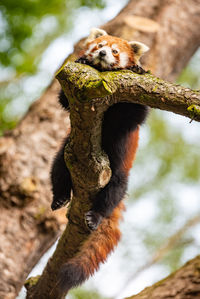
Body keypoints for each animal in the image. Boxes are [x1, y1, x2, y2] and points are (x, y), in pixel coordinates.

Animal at [50, 28, 149, 296]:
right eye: (99, 46)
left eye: (115, 51)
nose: (103, 53)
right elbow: (64, 100)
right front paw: (83, 61)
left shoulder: (128, 117)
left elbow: (135, 113)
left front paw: (138, 69)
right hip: (66, 153)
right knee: (58, 170)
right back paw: (59, 197)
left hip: (119, 171)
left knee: (114, 191)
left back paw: (95, 216)